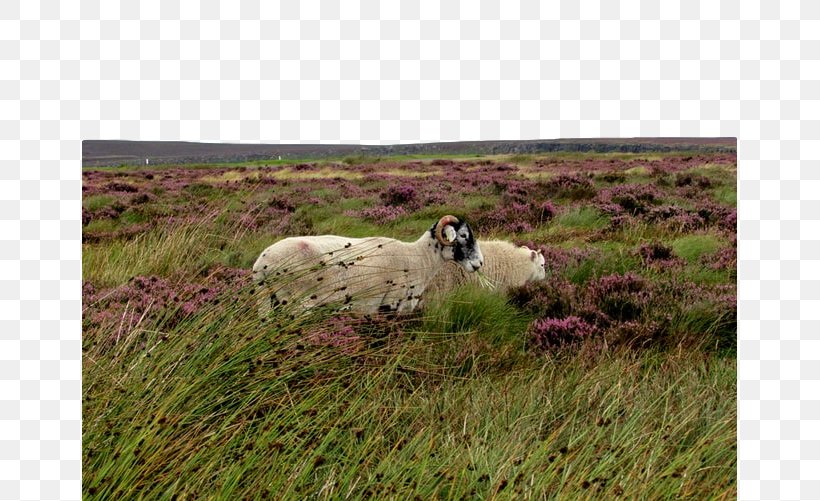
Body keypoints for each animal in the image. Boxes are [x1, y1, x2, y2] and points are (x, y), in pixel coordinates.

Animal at [253, 215, 484, 316]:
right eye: (463, 236)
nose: (480, 263)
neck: (418, 257)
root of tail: (262, 265)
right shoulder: (391, 305)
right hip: (297, 302)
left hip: (267, 302)